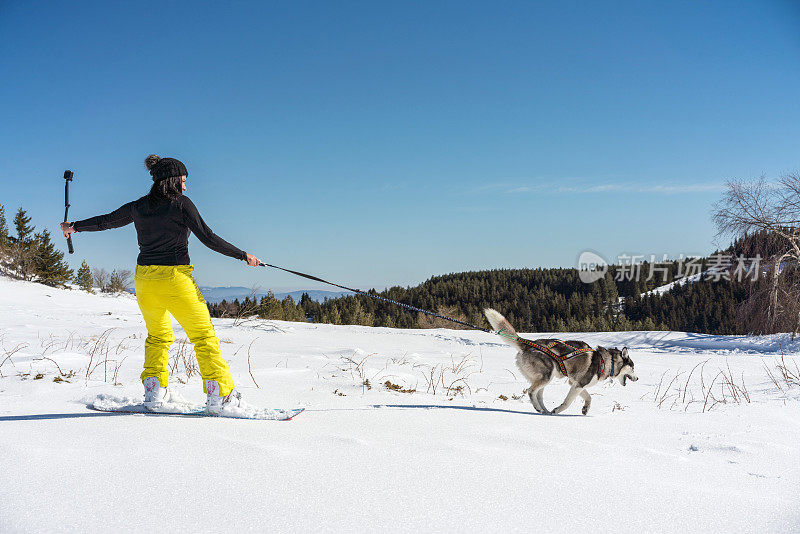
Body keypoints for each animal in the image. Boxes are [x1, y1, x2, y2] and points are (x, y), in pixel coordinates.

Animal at [482, 308, 636, 416]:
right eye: (633, 368)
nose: (637, 378)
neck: (606, 361)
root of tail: (527, 344)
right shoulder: (577, 385)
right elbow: (567, 402)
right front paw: (558, 410)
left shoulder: (576, 384)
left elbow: (589, 397)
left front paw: (585, 409)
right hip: (547, 375)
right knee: (531, 391)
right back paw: (539, 408)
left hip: (545, 378)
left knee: (538, 395)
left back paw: (544, 411)